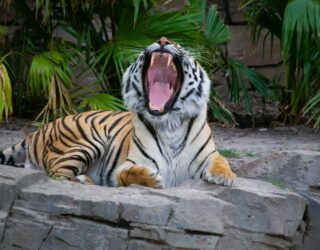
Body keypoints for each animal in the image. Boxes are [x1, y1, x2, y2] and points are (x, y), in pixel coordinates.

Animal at [0, 37, 235, 188]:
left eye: (180, 46)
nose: (163, 40)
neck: (169, 123)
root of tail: (38, 130)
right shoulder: (128, 164)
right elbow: (127, 173)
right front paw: (149, 178)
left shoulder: (209, 154)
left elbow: (222, 160)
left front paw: (224, 177)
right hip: (84, 143)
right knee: (57, 175)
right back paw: (85, 181)